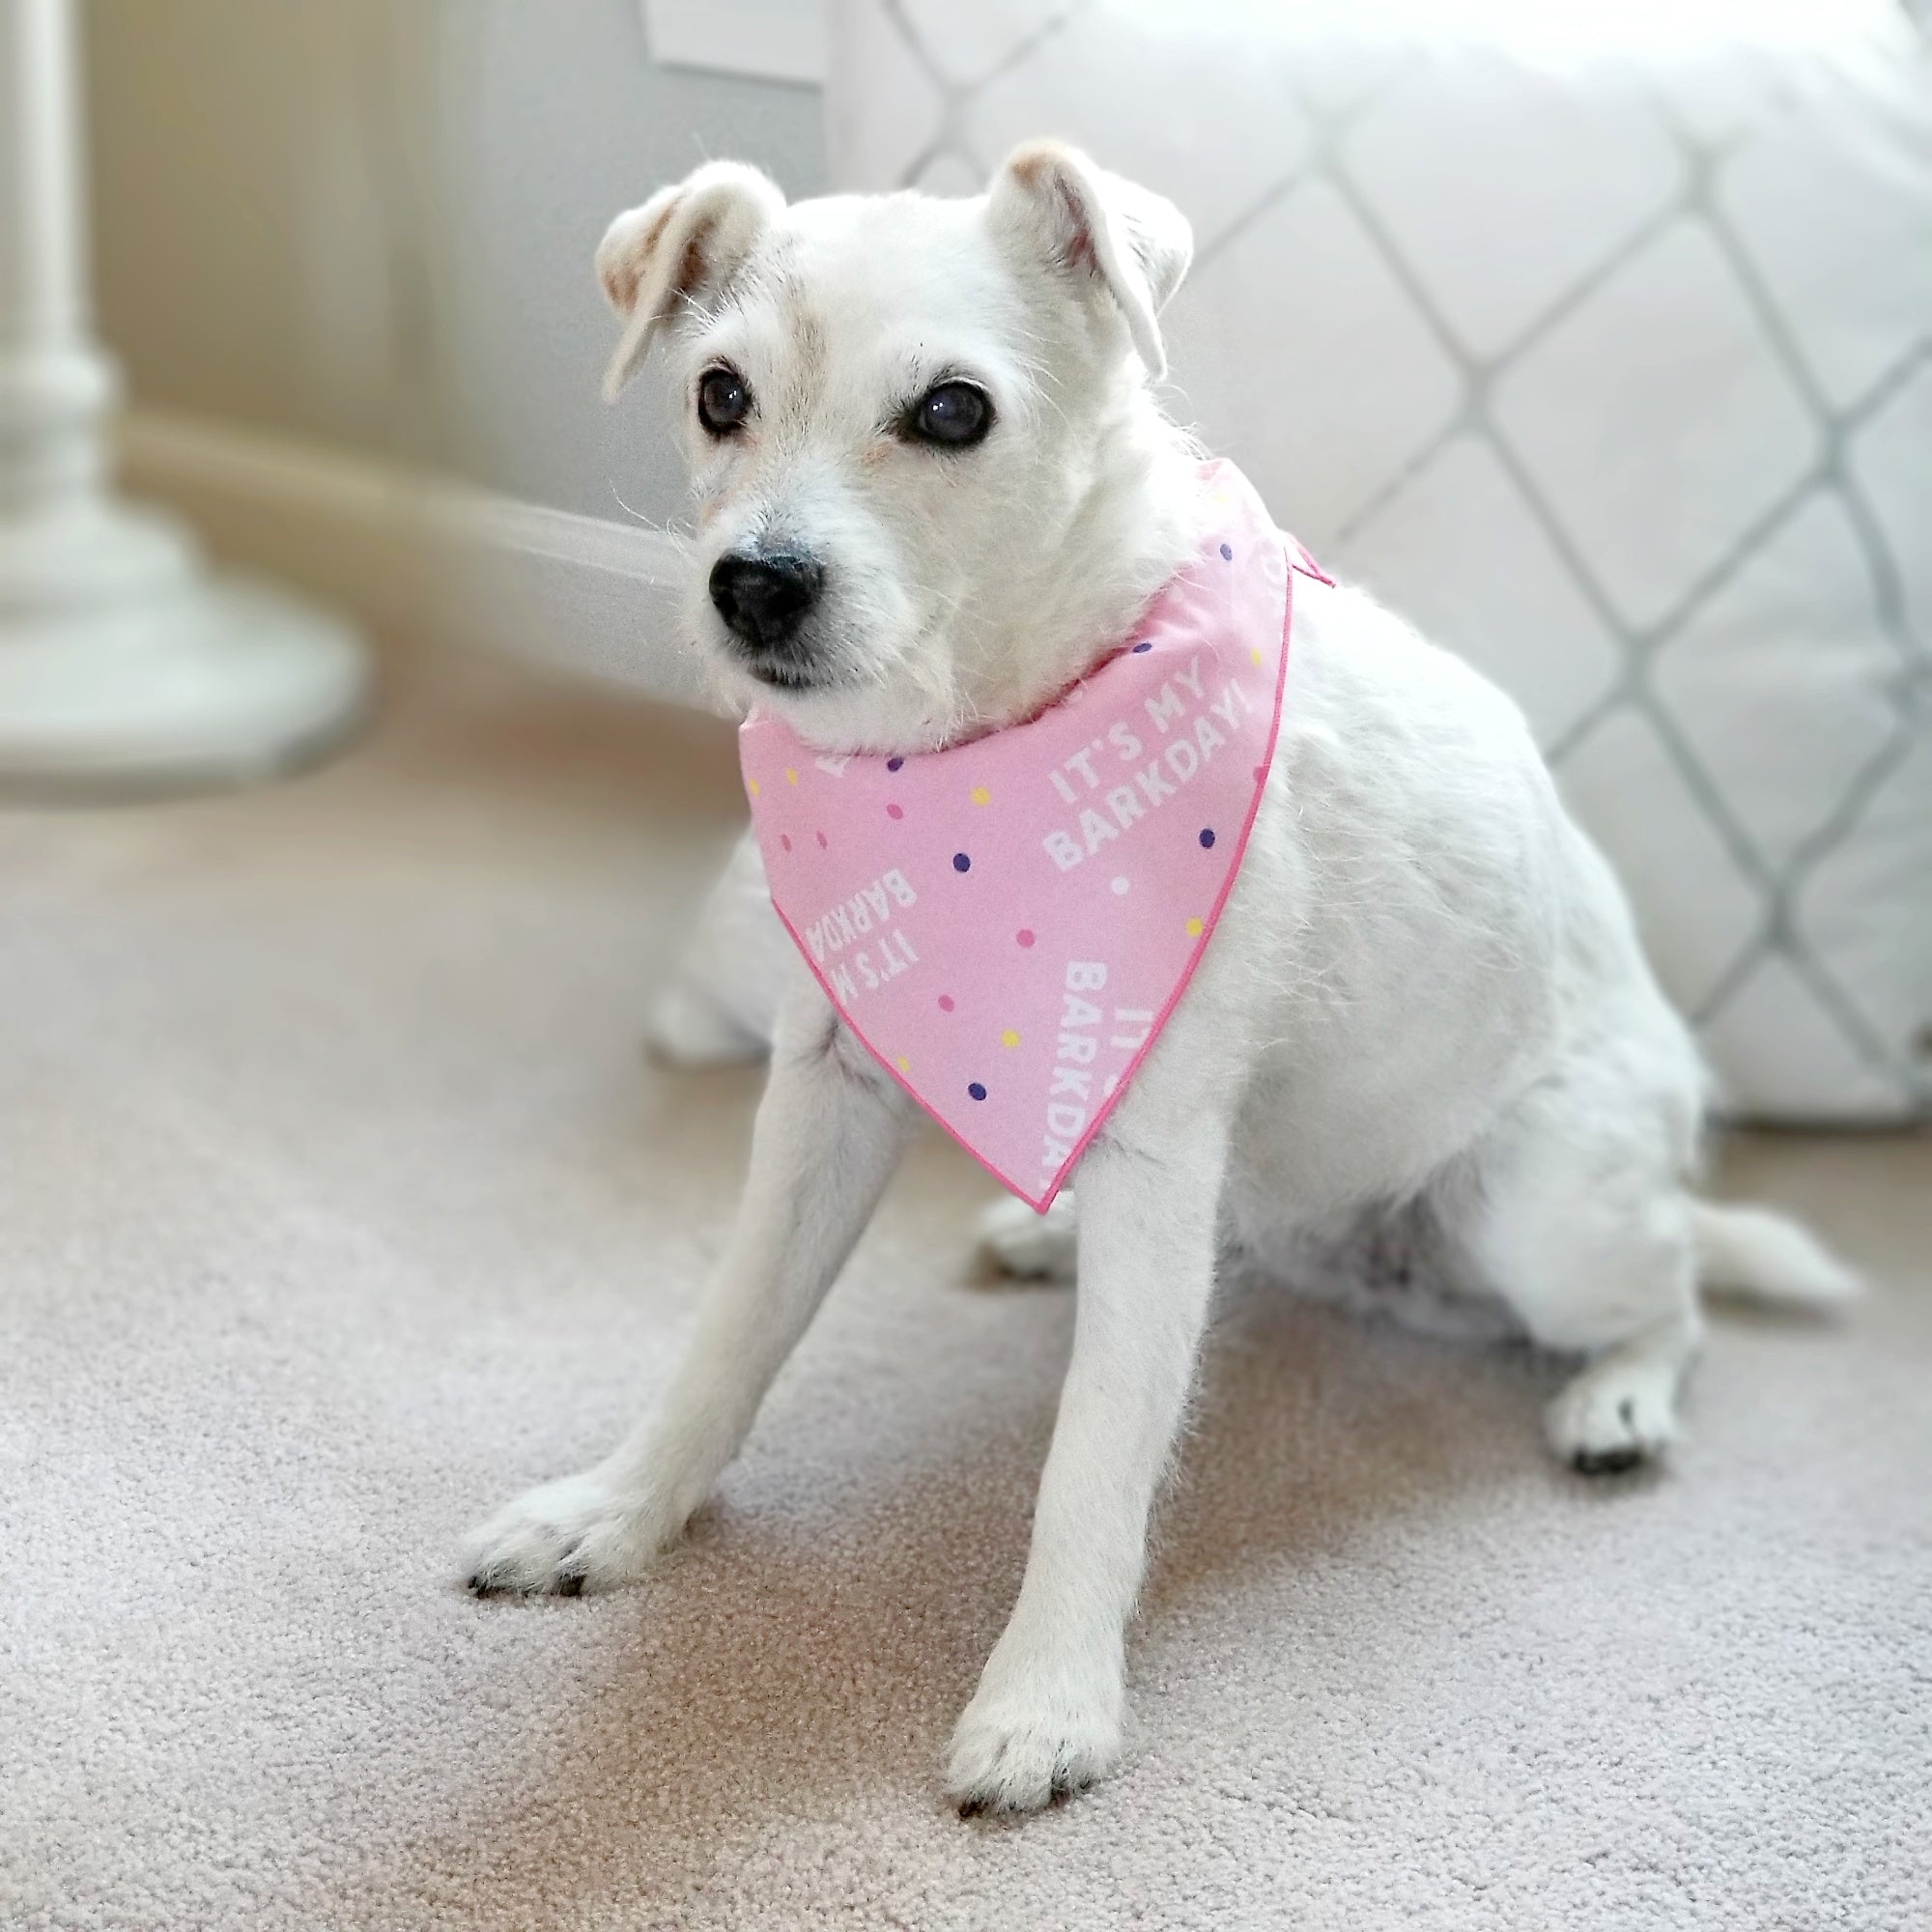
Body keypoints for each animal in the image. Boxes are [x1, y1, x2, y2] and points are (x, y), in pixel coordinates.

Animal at [464, 147, 1855, 1808]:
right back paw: (1049, 1234)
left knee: (1676, 1298)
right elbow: (726, 1340)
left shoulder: (1146, 1135)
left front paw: (1048, 1696)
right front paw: (616, 1514)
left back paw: (1621, 1393)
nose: (754, 586)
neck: (982, 751)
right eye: (719, 393)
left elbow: (1096, 1455)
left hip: (1543, 1211)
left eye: (952, 411)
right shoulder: (826, 1096)